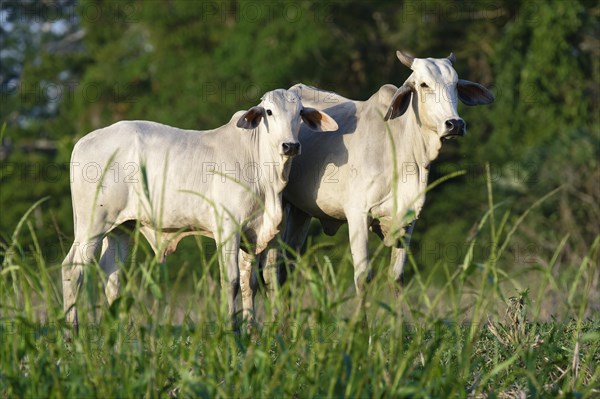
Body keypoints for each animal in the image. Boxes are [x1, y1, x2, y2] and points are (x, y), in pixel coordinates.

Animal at [63, 90, 340, 332]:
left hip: (122, 228)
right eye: (269, 112)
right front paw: (231, 330)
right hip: (92, 225)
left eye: (299, 113)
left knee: (112, 275)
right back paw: (72, 332)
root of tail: (83, 142)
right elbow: (231, 281)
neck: (266, 175)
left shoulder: (264, 234)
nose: (290, 146)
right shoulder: (228, 229)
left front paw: (262, 331)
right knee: (73, 269)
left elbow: (262, 282)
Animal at [258, 50, 492, 304]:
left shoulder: (407, 221)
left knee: (286, 269)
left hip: (302, 212)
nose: (454, 124)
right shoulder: (357, 215)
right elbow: (363, 278)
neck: (402, 148)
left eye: (455, 85)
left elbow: (396, 277)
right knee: (271, 271)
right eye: (423, 84)